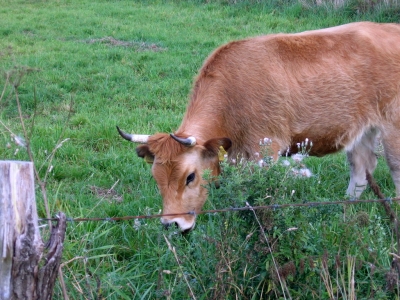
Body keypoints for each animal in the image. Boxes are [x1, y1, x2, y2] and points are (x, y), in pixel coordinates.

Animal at [117, 21, 400, 232]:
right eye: (156, 177)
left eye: (190, 176)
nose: (171, 224)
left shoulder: (266, 150)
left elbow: (262, 199)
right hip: (362, 129)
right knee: (361, 169)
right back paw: (344, 215)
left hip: (393, 126)